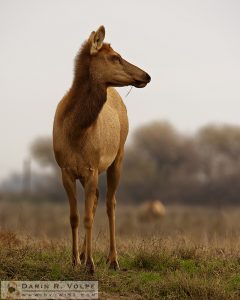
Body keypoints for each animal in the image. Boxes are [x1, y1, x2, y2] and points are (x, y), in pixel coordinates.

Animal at [52, 25, 150, 274]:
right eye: (115, 57)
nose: (147, 75)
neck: (76, 131)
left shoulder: (92, 168)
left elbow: (87, 217)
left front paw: (90, 264)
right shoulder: (66, 170)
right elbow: (75, 217)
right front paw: (75, 260)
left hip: (118, 157)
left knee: (110, 203)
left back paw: (113, 259)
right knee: (97, 200)